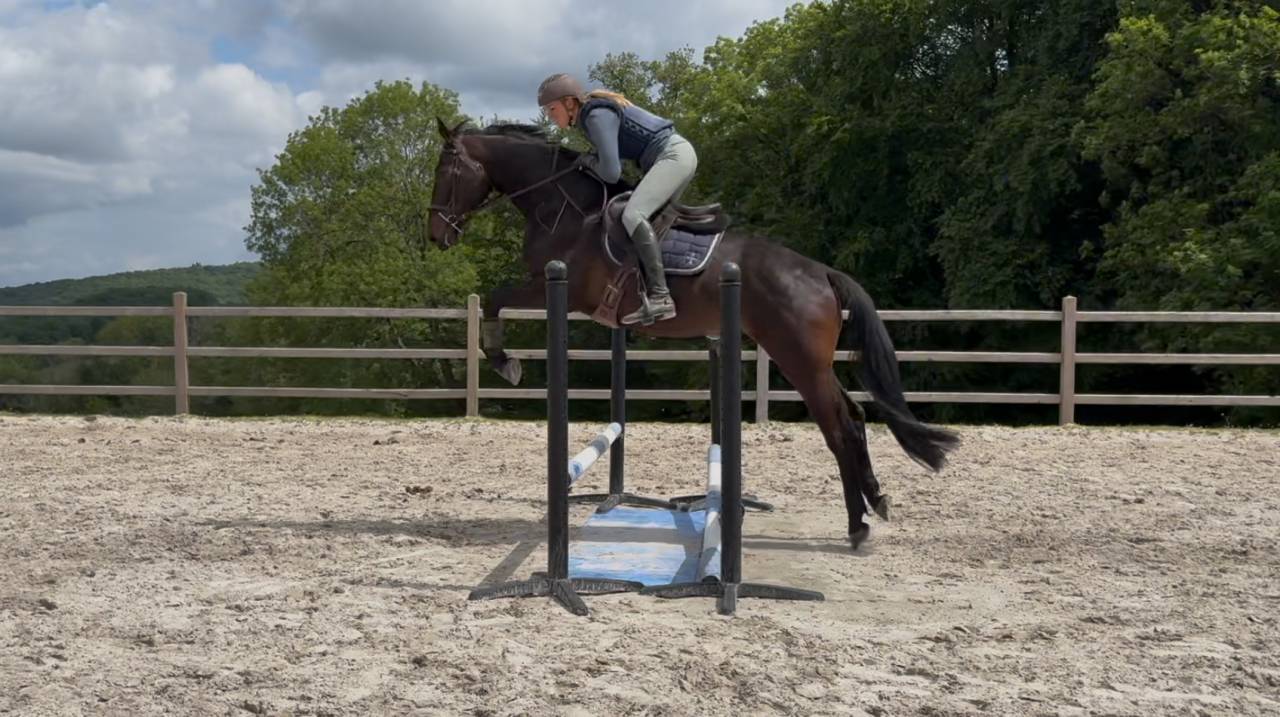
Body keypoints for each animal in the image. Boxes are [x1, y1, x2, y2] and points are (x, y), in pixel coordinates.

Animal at [426, 118, 959, 548]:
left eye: (445, 172)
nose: (436, 236)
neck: (564, 207)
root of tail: (822, 273)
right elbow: (493, 299)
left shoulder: (559, 287)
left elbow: (493, 298)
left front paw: (506, 362)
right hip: (813, 362)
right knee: (856, 416)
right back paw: (876, 501)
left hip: (800, 361)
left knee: (841, 428)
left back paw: (857, 524)